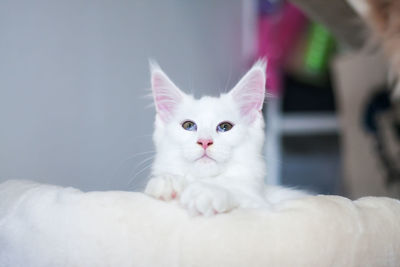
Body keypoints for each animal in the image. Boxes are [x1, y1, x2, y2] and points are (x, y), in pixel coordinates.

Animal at [145, 59, 308, 217]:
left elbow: (237, 193)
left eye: (225, 127)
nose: (205, 141)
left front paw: (207, 191)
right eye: (189, 125)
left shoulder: (262, 205)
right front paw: (169, 182)